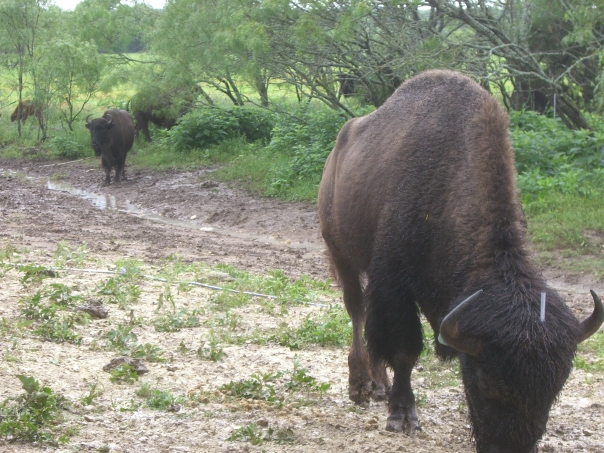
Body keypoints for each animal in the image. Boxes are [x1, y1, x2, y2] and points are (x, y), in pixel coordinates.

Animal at [318, 70, 603, 453]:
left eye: (554, 389)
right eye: (484, 382)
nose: (508, 448)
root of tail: (338, 149)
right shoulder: (394, 285)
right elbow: (405, 350)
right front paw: (403, 417)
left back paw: (379, 386)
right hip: (340, 251)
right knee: (357, 310)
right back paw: (362, 385)